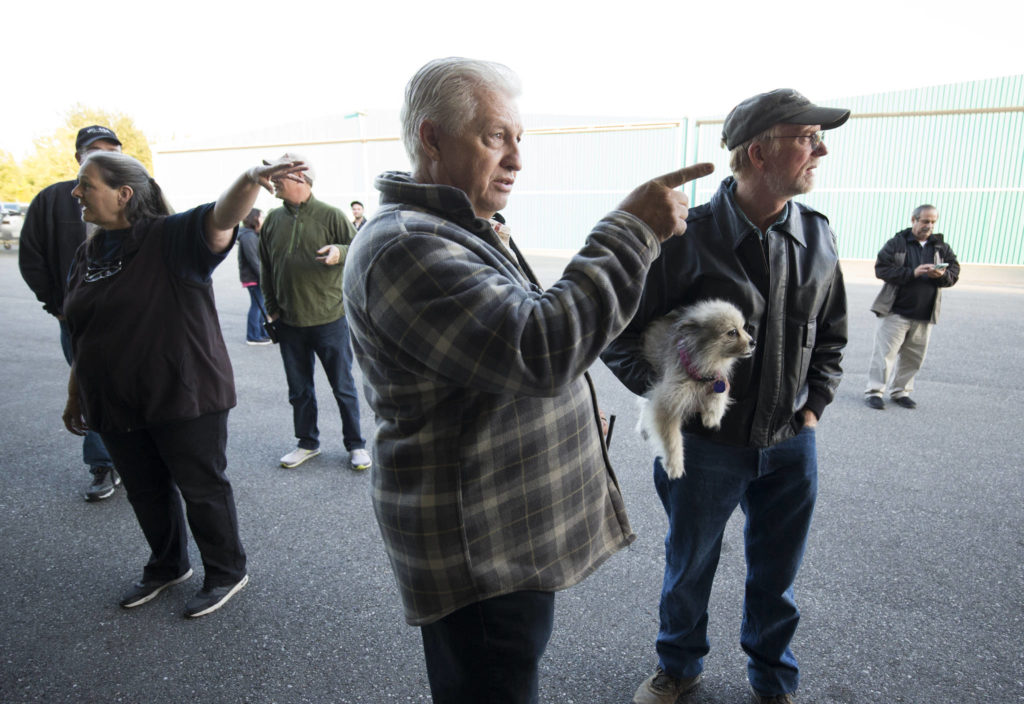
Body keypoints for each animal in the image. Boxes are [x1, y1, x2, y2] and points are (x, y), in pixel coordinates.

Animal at [643, 296, 757, 478]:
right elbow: (672, 438)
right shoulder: (668, 402)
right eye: (733, 332)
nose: (753, 342)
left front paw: (712, 415)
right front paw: (674, 464)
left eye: (744, 328)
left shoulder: (719, 379)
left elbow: (721, 392)